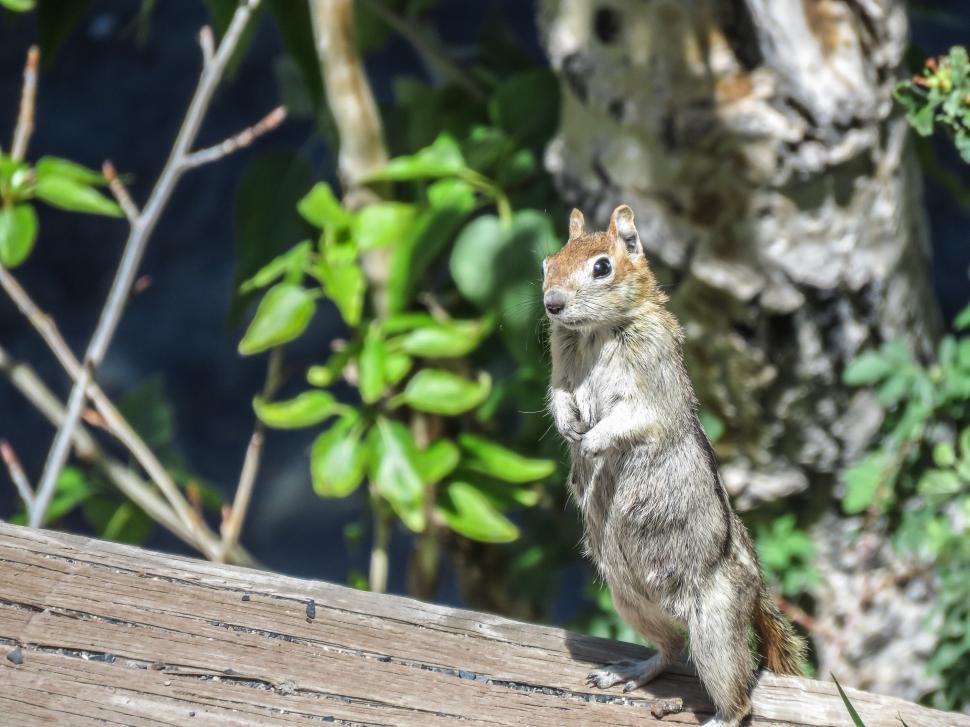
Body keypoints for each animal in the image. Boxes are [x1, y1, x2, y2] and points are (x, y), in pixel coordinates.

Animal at [543, 204, 806, 727]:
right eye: (549, 260)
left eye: (602, 266)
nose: (552, 304)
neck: (596, 333)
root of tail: (755, 590)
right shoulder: (561, 366)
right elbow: (559, 395)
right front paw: (569, 426)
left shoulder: (655, 383)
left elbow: (636, 416)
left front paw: (593, 441)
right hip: (630, 599)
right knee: (669, 651)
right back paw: (627, 671)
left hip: (714, 626)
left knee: (736, 694)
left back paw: (717, 716)